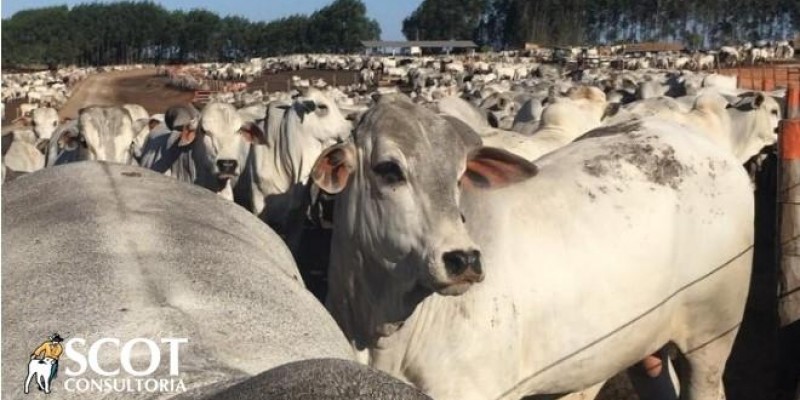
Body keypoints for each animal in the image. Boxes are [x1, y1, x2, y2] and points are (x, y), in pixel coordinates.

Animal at [310, 94, 752, 400]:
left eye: (459, 176)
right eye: (388, 169)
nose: (463, 259)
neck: (381, 330)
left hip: (713, 335)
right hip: (644, 345)